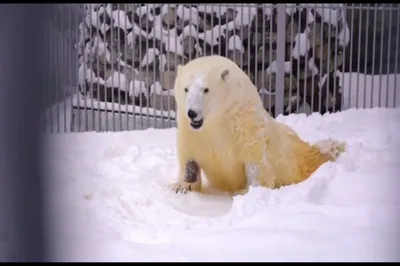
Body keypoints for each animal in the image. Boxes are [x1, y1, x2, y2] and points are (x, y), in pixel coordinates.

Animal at [170, 54, 346, 195]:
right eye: (186, 89)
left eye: (205, 89)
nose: (192, 112)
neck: (217, 119)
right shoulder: (191, 131)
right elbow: (189, 157)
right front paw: (182, 186)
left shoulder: (243, 123)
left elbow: (255, 160)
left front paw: (247, 191)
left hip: (294, 157)